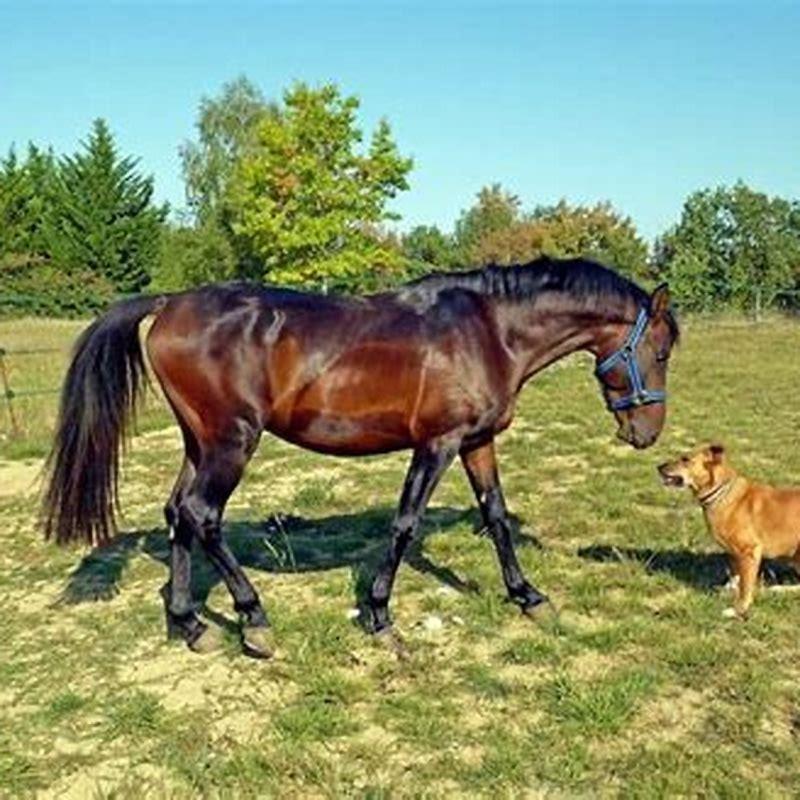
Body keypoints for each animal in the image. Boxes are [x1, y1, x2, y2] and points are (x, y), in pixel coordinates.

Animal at [40, 256, 680, 656]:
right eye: (662, 351)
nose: (646, 433)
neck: (490, 331)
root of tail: (171, 302)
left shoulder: (478, 442)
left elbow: (495, 516)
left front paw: (530, 597)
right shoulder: (437, 444)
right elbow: (404, 525)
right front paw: (379, 617)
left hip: (200, 443)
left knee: (178, 515)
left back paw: (191, 625)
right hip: (231, 443)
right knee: (202, 515)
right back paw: (254, 621)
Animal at [656, 444, 800, 620]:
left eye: (686, 459)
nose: (659, 467)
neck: (721, 493)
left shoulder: (749, 552)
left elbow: (745, 587)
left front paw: (738, 610)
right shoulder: (734, 553)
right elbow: (734, 575)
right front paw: (728, 589)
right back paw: (778, 589)